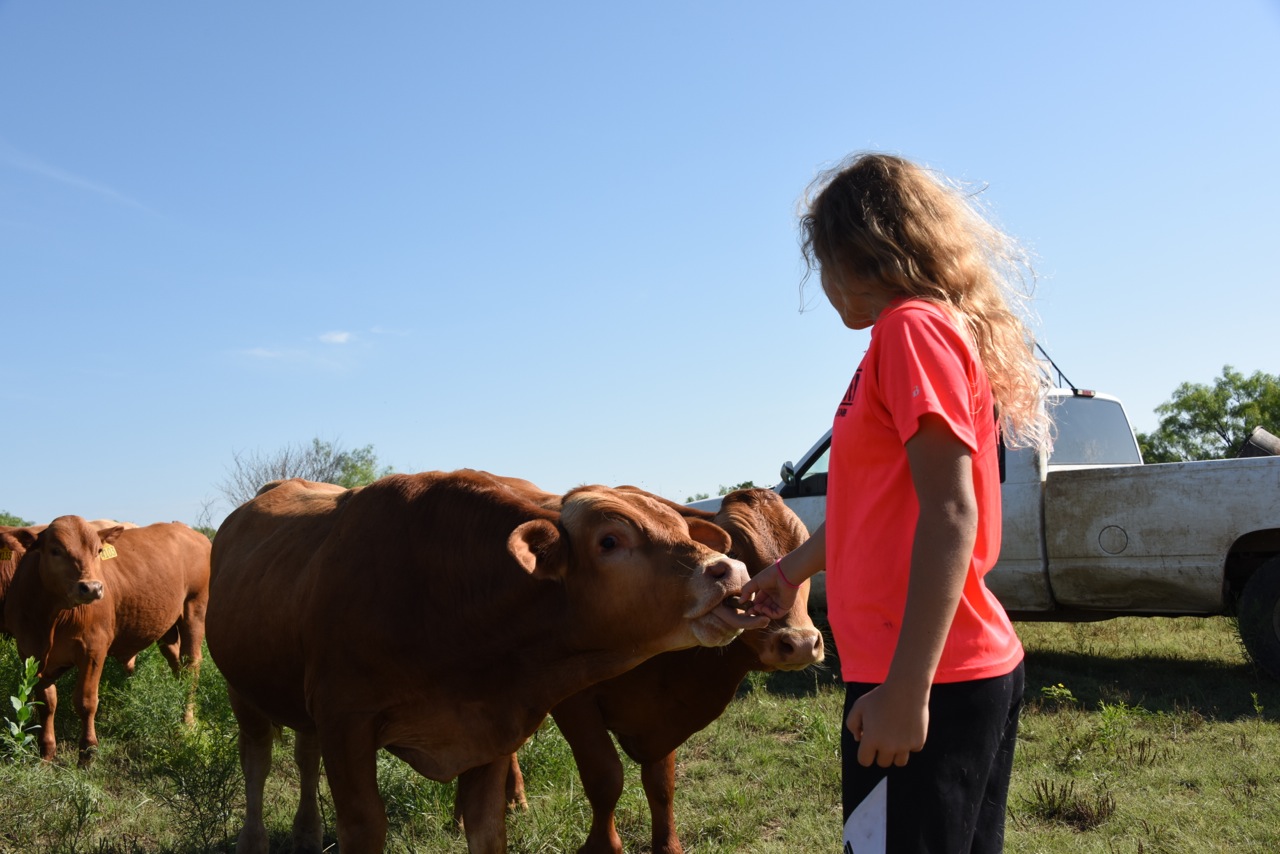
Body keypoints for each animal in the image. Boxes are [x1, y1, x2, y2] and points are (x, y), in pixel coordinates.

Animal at [199, 471, 757, 854]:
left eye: (678, 526)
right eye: (610, 540)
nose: (728, 570)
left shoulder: (488, 730)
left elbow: (487, 832)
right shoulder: (346, 723)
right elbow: (364, 826)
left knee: (303, 755)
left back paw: (306, 834)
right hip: (242, 693)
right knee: (257, 760)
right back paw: (254, 840)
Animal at [463, 483, 829, 850]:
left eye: (802, 551)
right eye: (737, 551)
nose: (800, 643)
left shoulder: (662, 721)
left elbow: (661, 784)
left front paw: (668, 845)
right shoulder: (574, 703)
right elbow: (605, 778)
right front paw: (601, 846)